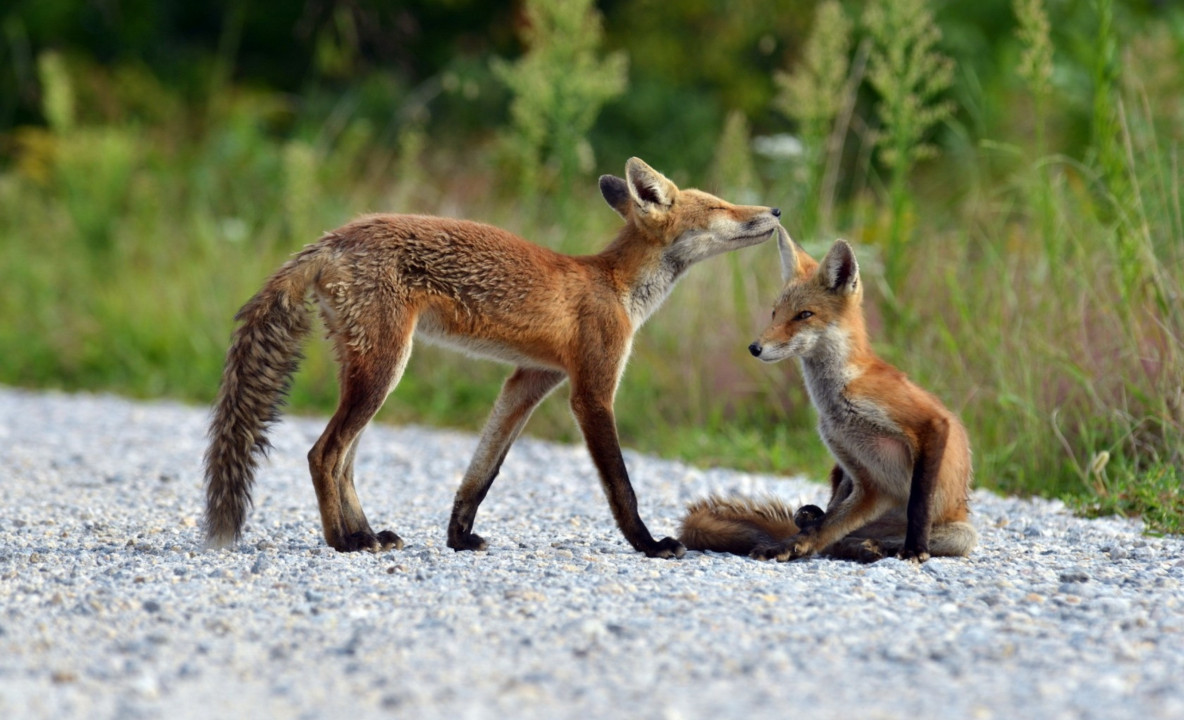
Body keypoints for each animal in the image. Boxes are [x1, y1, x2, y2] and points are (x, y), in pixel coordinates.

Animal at [198, 157, 781, 558]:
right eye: (720, 207)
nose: (775, 210)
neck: (615, 286)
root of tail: (333, 238)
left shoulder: (530, 380)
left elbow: (481, 472)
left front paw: (459, 536)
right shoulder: (591, 390)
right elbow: (622, 485)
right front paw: (650, 544)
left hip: (367, 371)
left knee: (343, 461)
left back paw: (363, 532)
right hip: (384, 370)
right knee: (323, 454)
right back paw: (344, 542)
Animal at [681, 229, 975, 563]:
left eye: (804, 315)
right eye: (774, 313)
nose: (755, 347)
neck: (838, 394)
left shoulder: (930, 423)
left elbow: (918, 504)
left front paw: (916, 548)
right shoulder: (865, 478)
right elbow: (823, 526)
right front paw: (789, 546)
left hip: (960, 533)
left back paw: (878, 547)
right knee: (825, 533)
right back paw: (854, 546)